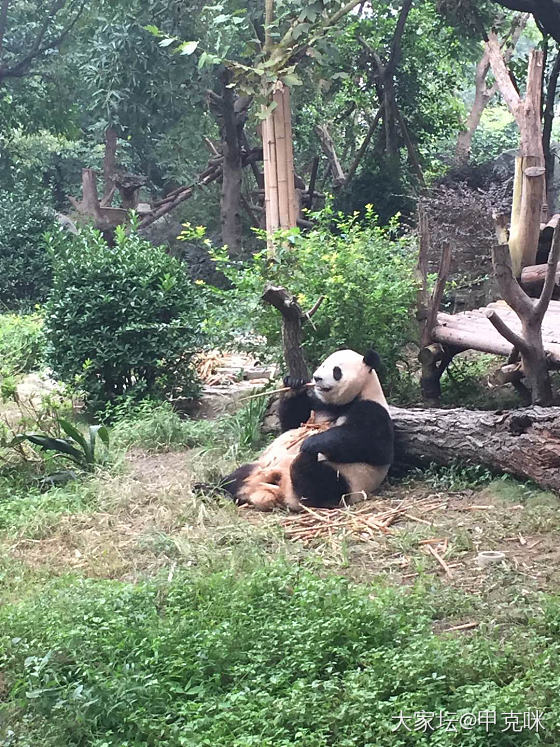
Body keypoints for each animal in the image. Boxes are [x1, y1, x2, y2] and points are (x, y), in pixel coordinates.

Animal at [221, 348, 392, 512]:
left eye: (336, 370)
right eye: (323, 365)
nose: (317, 378)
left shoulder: (372, 410)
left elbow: (371, 445)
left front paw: (310, 442)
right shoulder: (319, 406)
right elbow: (293, 423)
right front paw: (294, 384)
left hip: (348, 480)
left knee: (317, 482)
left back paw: (303, 461)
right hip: (260, 465)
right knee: (238, 476)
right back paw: (223, 488)